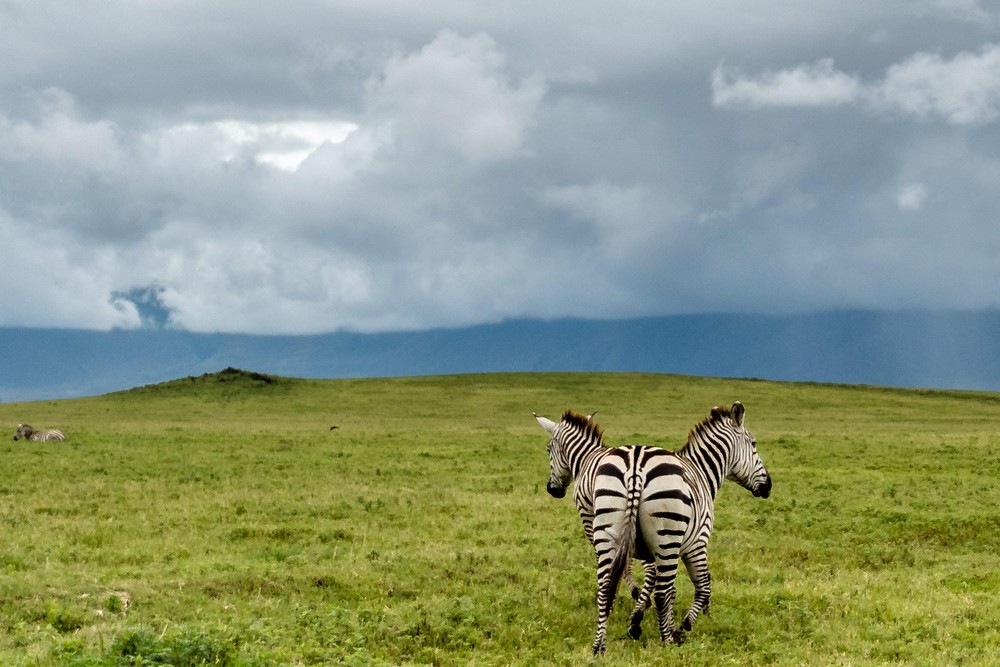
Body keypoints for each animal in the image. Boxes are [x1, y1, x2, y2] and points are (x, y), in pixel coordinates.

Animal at [536, 402, 768, 652]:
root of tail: (635, 465)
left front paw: (643, 619)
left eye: (549, 449)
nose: (768, 486)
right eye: (754, 444)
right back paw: (667, 641)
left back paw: (601, 645)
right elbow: (701, 586)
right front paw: (681, 626)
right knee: (660, 592)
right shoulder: (697, 542)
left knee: (607, 588)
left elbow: (668, 583)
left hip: (616, 531)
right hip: (664, 535)